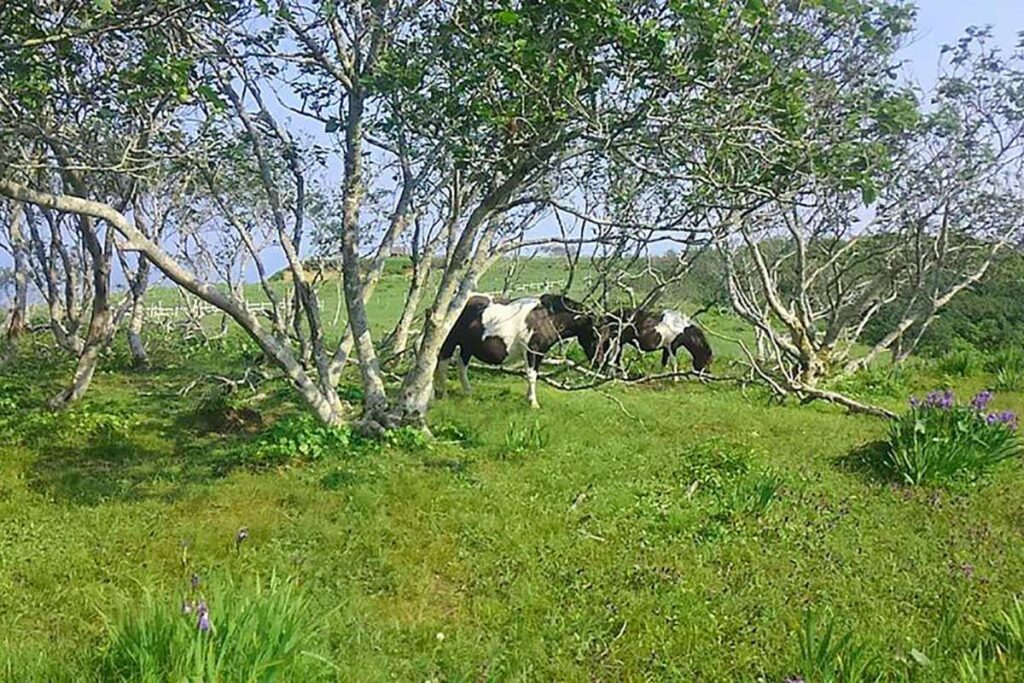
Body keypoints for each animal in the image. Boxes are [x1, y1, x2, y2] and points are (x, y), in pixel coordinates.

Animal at [435, 293, 599, 408]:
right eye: (596, 334)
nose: (598, 362)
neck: (546, 317)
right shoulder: (531, 351)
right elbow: (531, 375)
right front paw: (534, 403)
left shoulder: (539, 353)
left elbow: (534, 375)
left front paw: (529, 398)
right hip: (449, 342)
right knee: (443, 365)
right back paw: (443, 395)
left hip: (467, 346)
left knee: (461, 366)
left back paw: (468, 393)